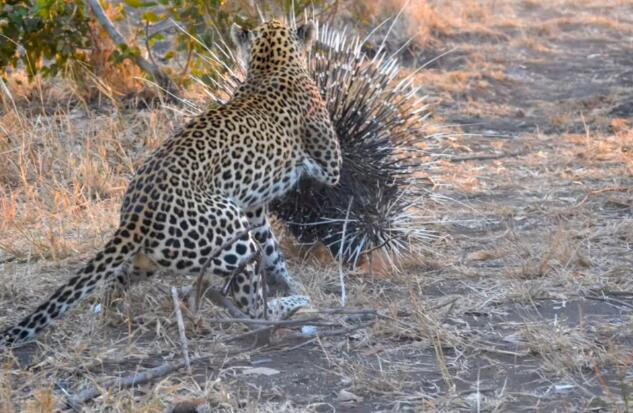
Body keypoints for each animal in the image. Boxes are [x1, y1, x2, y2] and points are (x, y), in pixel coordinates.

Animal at [1, 20, 340, 348]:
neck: (272, 63)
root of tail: (137, 213)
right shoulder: (330, 165)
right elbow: (321, 171)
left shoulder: (254, 209)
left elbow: (271, 248)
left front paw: (287, 279)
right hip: (232, 232)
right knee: (253, 305)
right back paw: (291, 307)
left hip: (158, 254)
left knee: (116, 279)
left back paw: (114, 313)